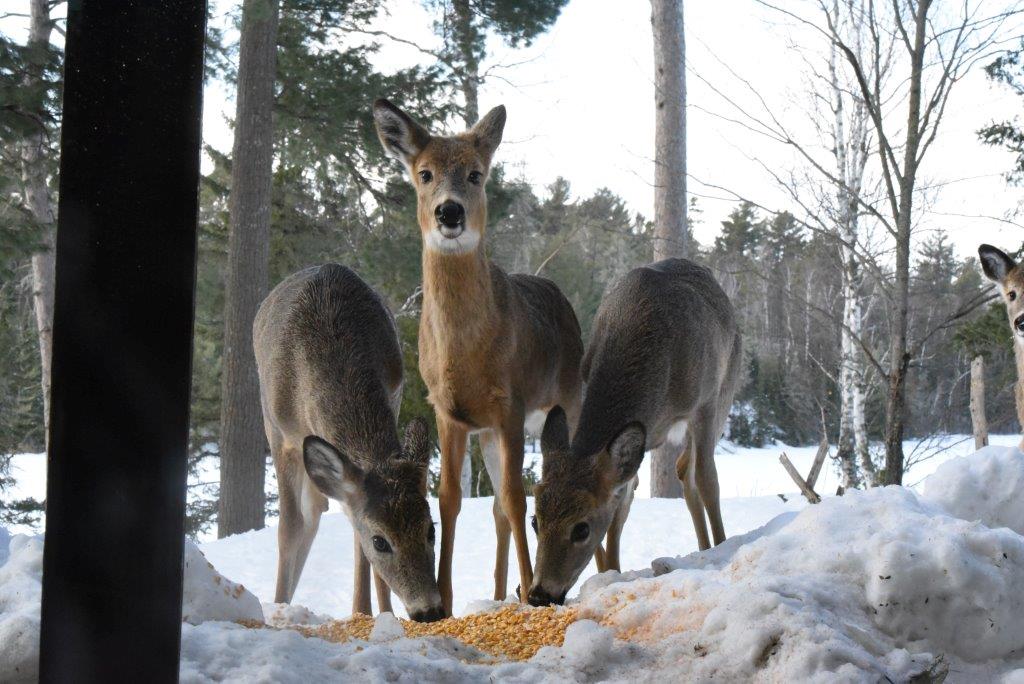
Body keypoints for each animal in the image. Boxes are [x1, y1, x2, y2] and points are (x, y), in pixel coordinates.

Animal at [254, 263, 444, 623]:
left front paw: (373, 615)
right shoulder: (280, 433)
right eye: (380, 541)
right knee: (306, 515)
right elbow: (289, 529)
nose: (430, 610)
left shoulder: (394, 394)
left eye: (431, 529)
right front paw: (279, 609)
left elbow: (356, 537)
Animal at [372, 98, 584, 615]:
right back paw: (498, 593)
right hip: (489, 432)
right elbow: (451, 498)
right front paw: (446, 601)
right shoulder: (450, 411)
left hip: (567, 400)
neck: (466, 355)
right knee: (493, 507)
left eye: (475, 174)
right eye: (424, 174)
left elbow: (517, 496)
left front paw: (532, 592)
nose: (449, 211)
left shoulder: (510, 404)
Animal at [527, 258, 742, 606]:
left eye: (581, 529)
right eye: (535, 521)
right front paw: (610, 573)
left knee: (695, 471)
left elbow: (709, 480)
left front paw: (724, 547)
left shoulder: (706, 401)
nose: (538, 593)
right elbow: (619, 508)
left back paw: (712, 547)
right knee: (683, 469)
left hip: (728, 386)